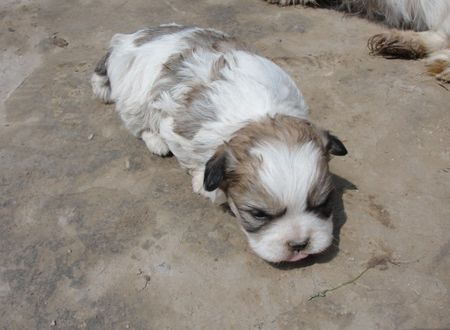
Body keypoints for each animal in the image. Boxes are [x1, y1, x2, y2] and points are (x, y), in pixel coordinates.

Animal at [89, 24, 346, 262]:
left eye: (323, 203)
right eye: (259, 214)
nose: (299, 244)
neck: (258, 115)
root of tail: (124, 39)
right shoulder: (177, 127)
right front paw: (202, 183)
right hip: (134, 95)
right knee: (137, 123)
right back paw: (155, 141)